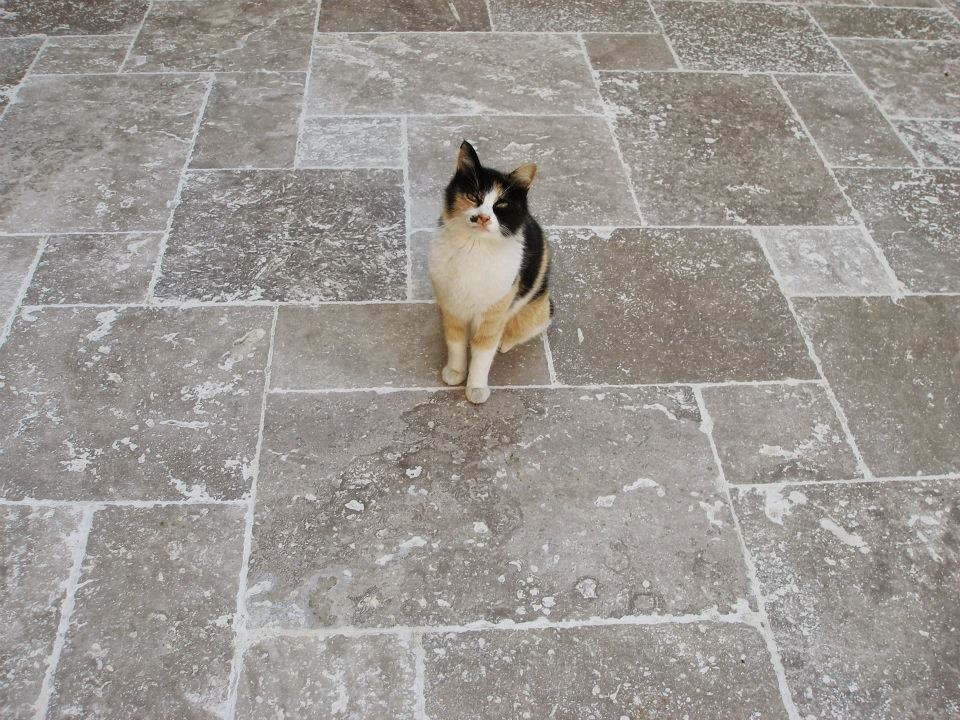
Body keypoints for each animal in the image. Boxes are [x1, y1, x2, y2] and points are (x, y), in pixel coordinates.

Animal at [428, 140, 553, 405]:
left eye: (501, 205)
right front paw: (455, 372)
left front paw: (475, 388)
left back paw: (504, 343)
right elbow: (455, 341)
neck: (474, 248)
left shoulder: (494, 312)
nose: (484, 217)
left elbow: (483, 352)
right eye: (473, 196)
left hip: (538, 310)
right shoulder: (453, 306)